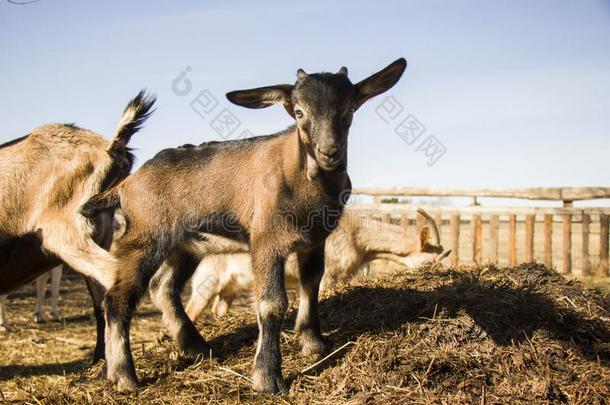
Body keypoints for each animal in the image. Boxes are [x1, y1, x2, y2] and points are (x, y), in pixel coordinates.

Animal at [79, 57, 404, 392]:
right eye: (299, 111)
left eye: (349, 109)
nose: (329, 152)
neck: (302, 178)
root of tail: (127, 184)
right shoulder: (266, 240)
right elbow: (272, 303)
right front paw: (267, 377)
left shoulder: (315, 241)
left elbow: (312, 284)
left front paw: (314, 344)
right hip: (145, 238)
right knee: (117, 299)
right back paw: (124, 376)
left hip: (184, 245)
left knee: (163, 287)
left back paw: (197, 348)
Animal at [185, 208, 446, 318]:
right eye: (429, 261)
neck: (358, 235)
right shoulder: (329, 276)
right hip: (207, 282)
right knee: (191, 310)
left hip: (227, 290)